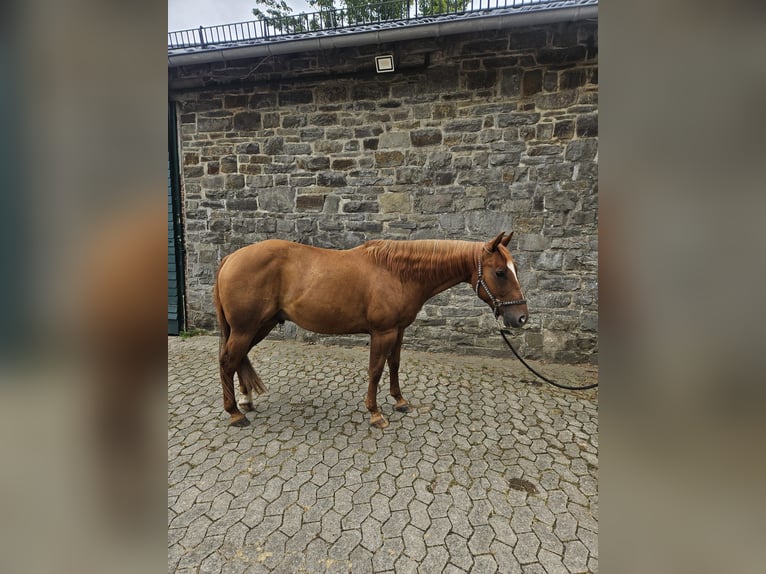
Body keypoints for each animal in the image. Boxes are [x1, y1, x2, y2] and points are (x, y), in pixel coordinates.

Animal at [213, 232, 528, 429]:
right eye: (500, 272)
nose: (521, 318)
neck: (398, 273)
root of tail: (230, 258)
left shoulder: (398, 331)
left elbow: (394, 364)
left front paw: (400, 401)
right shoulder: (382, 332)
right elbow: (375, 370)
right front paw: (375, 413)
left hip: (258, 326)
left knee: (239, 360)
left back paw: (246, 401)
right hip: (246, 328)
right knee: (228, 361)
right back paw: (235, 414)